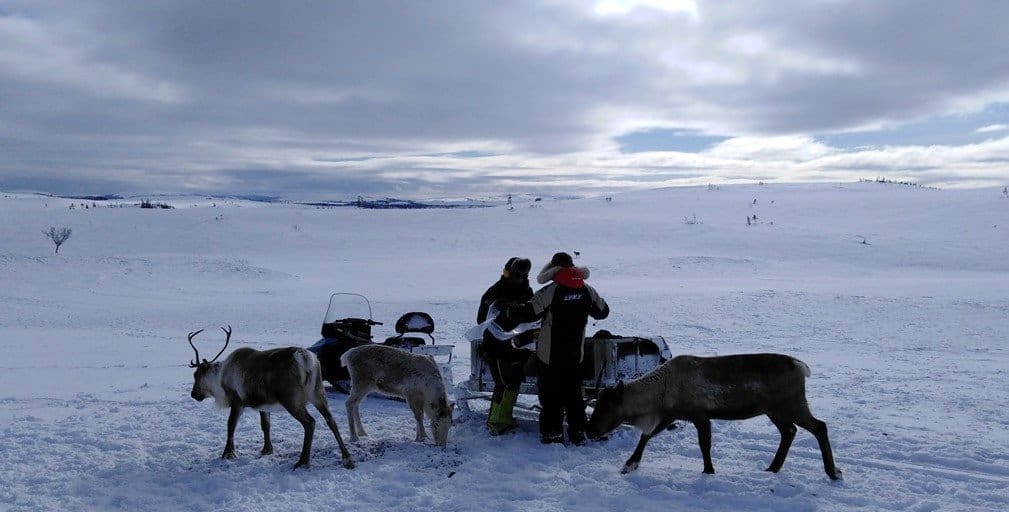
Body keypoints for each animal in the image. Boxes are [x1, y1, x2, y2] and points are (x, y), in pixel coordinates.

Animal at [188, 326, 355, 469]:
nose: (193, 395)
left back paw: (303, 461)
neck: (220, 378)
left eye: (197, 375)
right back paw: (347, 458)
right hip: (318, 392)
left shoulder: (237, 401)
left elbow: (231, 425)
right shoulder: (263, 404)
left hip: (291, 399)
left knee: (310, 422)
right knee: (330, 420)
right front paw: (267, 449)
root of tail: (305, 358)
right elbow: (265, 425)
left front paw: (228, 453)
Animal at [587, 353, 841, 480]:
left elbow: (704, 444)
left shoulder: (699, 415)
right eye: (597, 404)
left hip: (791, 405)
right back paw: (772, 468)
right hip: (775, 411)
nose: (590, 431)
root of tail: (801, 367)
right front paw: (629, 465)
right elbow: (646, 436)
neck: (661, 392)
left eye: (606, 407)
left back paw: (833, 472)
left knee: (819, 426)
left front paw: (708, 470)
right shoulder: (672, 415)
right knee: (790, 431)